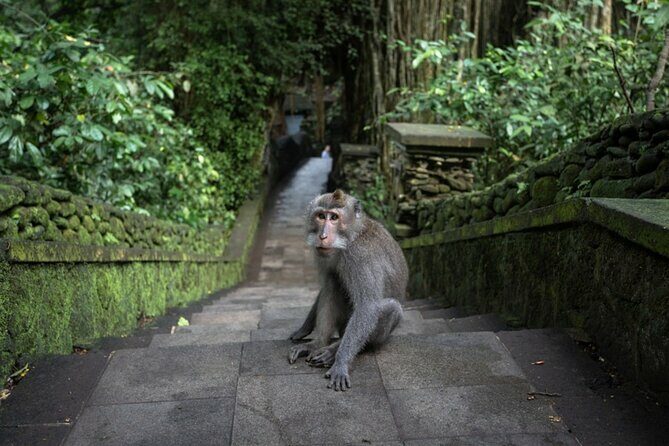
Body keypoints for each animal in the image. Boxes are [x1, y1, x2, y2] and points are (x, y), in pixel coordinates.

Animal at [288, 189, 408, 391]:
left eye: (334, 217)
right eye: (321, 216)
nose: (322, 236)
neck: (351, 237)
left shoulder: (361, 256)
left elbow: (367, 307)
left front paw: (341, 362)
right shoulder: (325, 255)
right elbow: (326, 287)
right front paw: (304, 328)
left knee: (391, 308)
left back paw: (332, 350)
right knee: (333, 282)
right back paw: (319, 343)